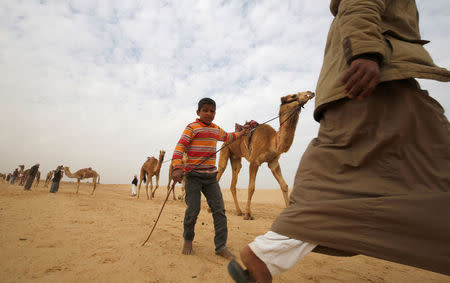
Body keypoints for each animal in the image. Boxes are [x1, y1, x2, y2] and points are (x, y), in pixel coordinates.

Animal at [217, 91, 314, 220]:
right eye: (293, 96)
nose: (310, 93)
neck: (272, 141)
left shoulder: (273, 162)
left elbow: (284, 185)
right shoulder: (254, 161)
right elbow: (251, 188)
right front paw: (248, 215)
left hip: (236, 158)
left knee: (233, 182)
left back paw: (238, 211)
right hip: (224, 150)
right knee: (220, 171)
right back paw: (211, 209)